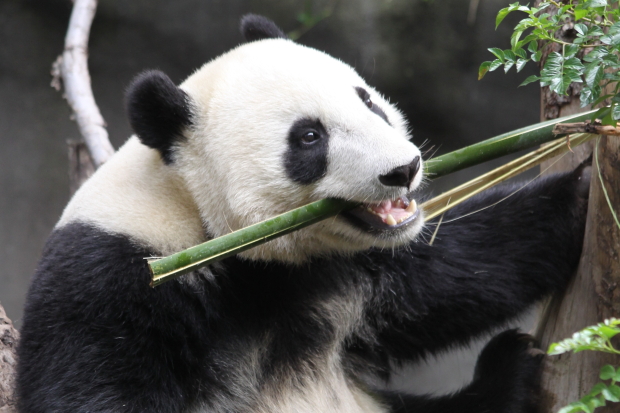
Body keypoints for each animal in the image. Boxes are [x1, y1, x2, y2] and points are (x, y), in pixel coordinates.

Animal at [17, 13, 588, 412]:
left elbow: (448, 276)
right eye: (310, 137)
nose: (403, 170)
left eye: (368, 102)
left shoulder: (342, 270)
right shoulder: (116, 277)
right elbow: (91, 388)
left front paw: (583, 185)